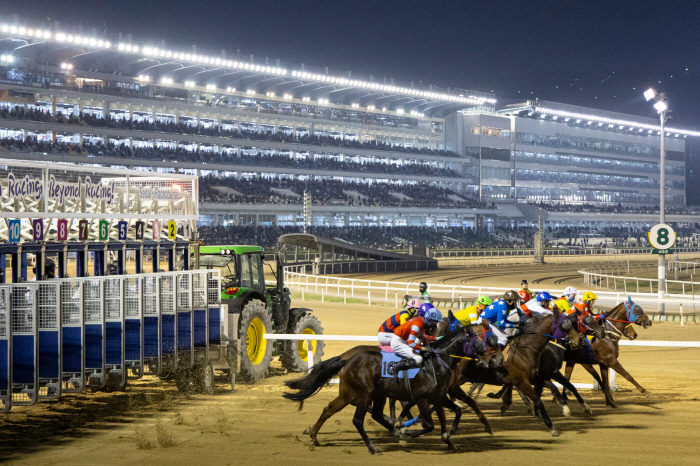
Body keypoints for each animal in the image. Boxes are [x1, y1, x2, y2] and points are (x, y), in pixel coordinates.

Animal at [284, 326, 492, 454]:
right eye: (479, 341)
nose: (490, 359)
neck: (435, 363)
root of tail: (346, 359)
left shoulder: (438, 396)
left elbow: (453, 413)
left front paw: (448, 439)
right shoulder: (422, 398)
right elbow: (429, 424)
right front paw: (406, 433)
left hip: (356, 393)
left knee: (331, 410)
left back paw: (314, 436)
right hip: (364, 394)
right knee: (358, 420)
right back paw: (374, 447)